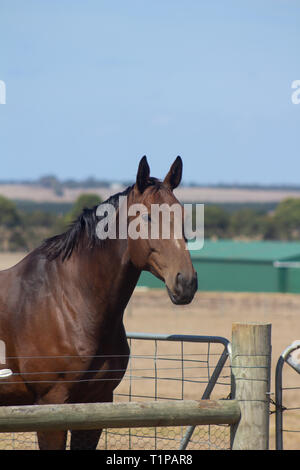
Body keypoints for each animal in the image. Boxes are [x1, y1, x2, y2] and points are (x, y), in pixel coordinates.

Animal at [0, 156, 197, 450]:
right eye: (147, 216)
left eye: (183, 215)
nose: (186, 282)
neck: (67, 304)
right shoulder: (50, 404)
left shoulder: (96, 402)